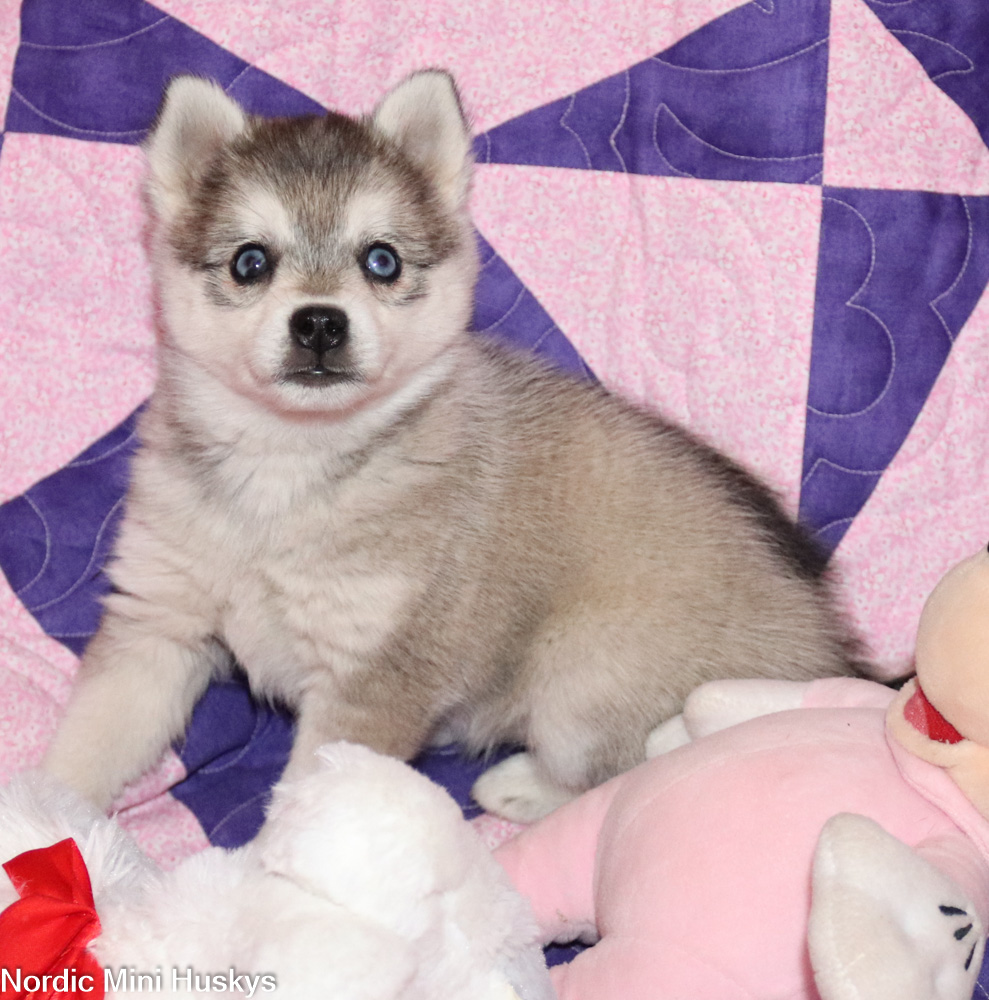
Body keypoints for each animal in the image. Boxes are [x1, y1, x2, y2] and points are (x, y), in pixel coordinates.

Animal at [43, 71, 861, 823]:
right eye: (250, 262)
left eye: (381, 260)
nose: (319, 322)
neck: (289, 464)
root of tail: (829, 653)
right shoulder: (156, 623)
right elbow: (83, 752)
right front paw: (38, 827)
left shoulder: (370, 680)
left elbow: (313, 819)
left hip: (585, 672)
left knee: (624, 772)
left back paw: (522, 786)